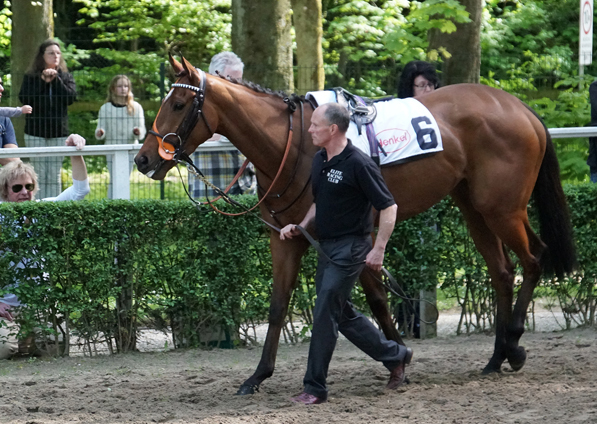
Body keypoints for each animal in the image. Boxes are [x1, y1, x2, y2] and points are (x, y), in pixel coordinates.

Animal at [134, 55, 572, 394]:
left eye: (178, 103)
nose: (143, 158)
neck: (292, 144)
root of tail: (520, 108)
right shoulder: (286, 238)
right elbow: (278, 306)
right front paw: (257, 376)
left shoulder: (357, 235)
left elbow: (375, 300)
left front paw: (399, 359)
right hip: (474, 208)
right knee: (503, 271)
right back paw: (497, 357)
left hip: (502, 208)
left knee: (534, 259)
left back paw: (514, 344)